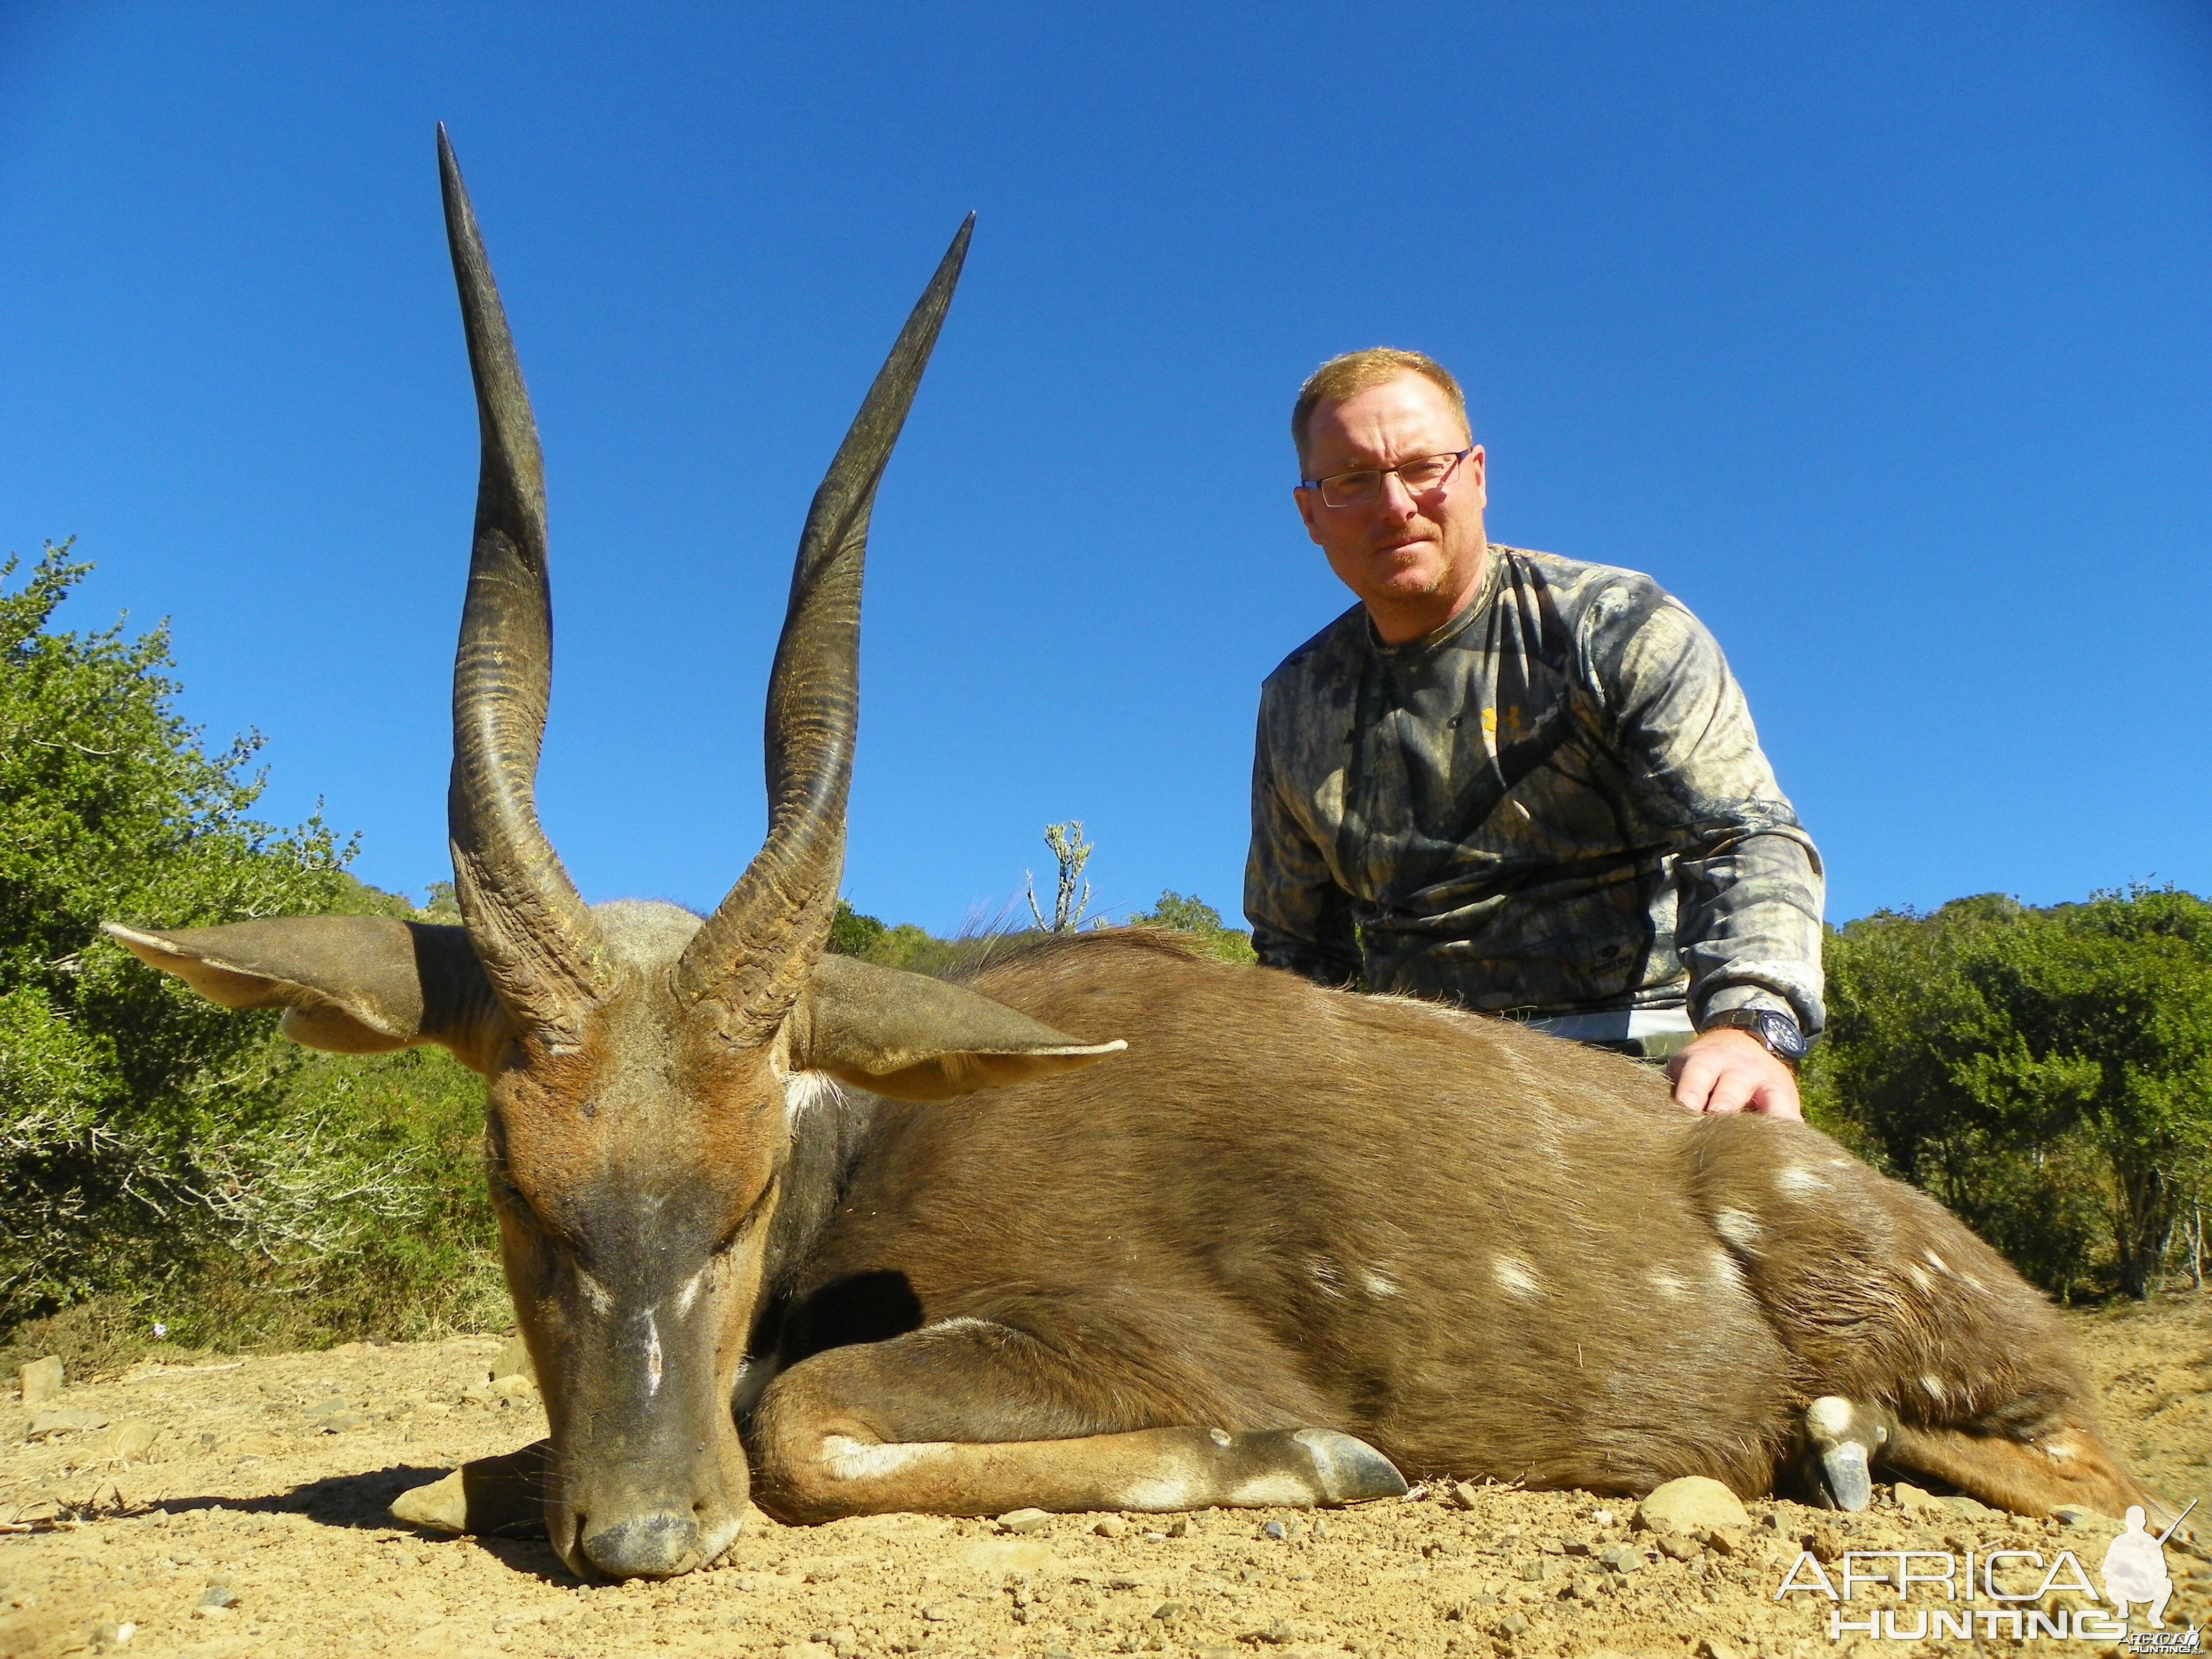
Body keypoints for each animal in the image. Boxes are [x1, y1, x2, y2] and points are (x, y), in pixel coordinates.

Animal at [108, 133, 2159, 1584]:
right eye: (513, 1189)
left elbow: (800, 1414)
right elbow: (456, 1478)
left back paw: (1832, 1444)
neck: (876, 1139)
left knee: (2069, 1456)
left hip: (1952, 1352)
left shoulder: (1137, 1340)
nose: (642, 1535)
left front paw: (1324, 1459)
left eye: (747, 1192)